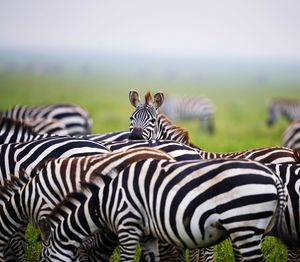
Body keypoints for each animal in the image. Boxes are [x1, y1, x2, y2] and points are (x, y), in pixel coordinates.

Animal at [39, 158, 298, 262]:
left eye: (42, 259)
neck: (105, 201)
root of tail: (273, 176)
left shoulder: (128, 226)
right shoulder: (147, 234)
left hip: (244, 226)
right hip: (247, 229)